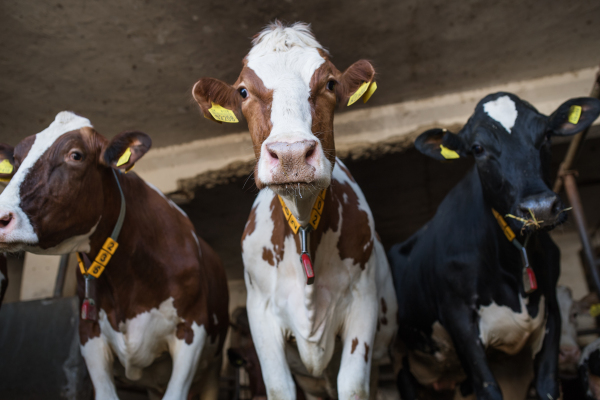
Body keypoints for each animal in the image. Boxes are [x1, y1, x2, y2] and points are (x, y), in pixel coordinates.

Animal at [0, 111, 229, 400]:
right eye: (16, 160)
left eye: (76, 155)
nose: (1, 217)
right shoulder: (89, 335)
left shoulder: (192, 331)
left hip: (213, 366)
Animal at [193, 22, 398, 400]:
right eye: (243, 91)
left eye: (330, 83)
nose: (291, 154)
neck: (303, 225)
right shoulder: (261, 315)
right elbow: (278, 387)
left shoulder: (362, 307)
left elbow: (354, 387)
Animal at [390, 91, 600, 400]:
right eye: (477, 149)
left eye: (547, 135)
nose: (540, 208)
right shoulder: (459, 319)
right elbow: (488, 388)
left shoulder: (551, 312)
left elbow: (548, 385)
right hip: (400, 357)